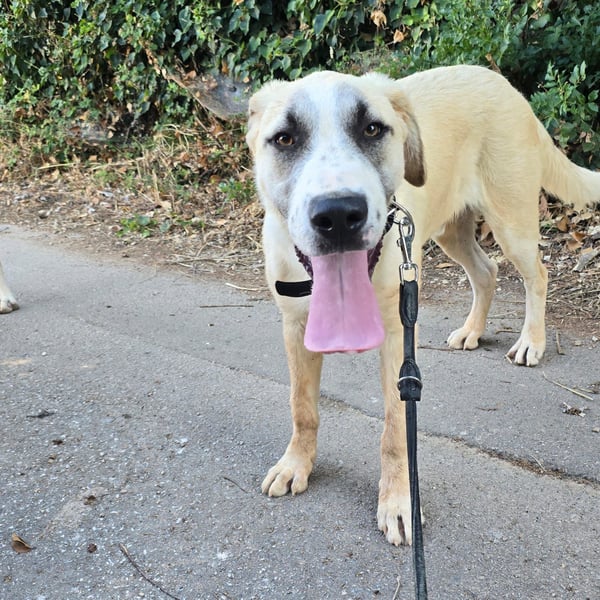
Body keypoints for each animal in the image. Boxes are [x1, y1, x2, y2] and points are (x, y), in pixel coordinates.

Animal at [246, 65, 599, 545]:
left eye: (372, 129)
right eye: (284, 138)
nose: (338, 215)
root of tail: (499, 81)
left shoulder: (399, 337)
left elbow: (396, 430)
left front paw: (398, 504)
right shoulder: (295, 326)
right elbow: (302, 407)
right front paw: (296, 464)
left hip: (511, 221)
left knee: (537, 275)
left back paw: (532, 341)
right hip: (452, 230)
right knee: (486, 271)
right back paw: (472, 330)